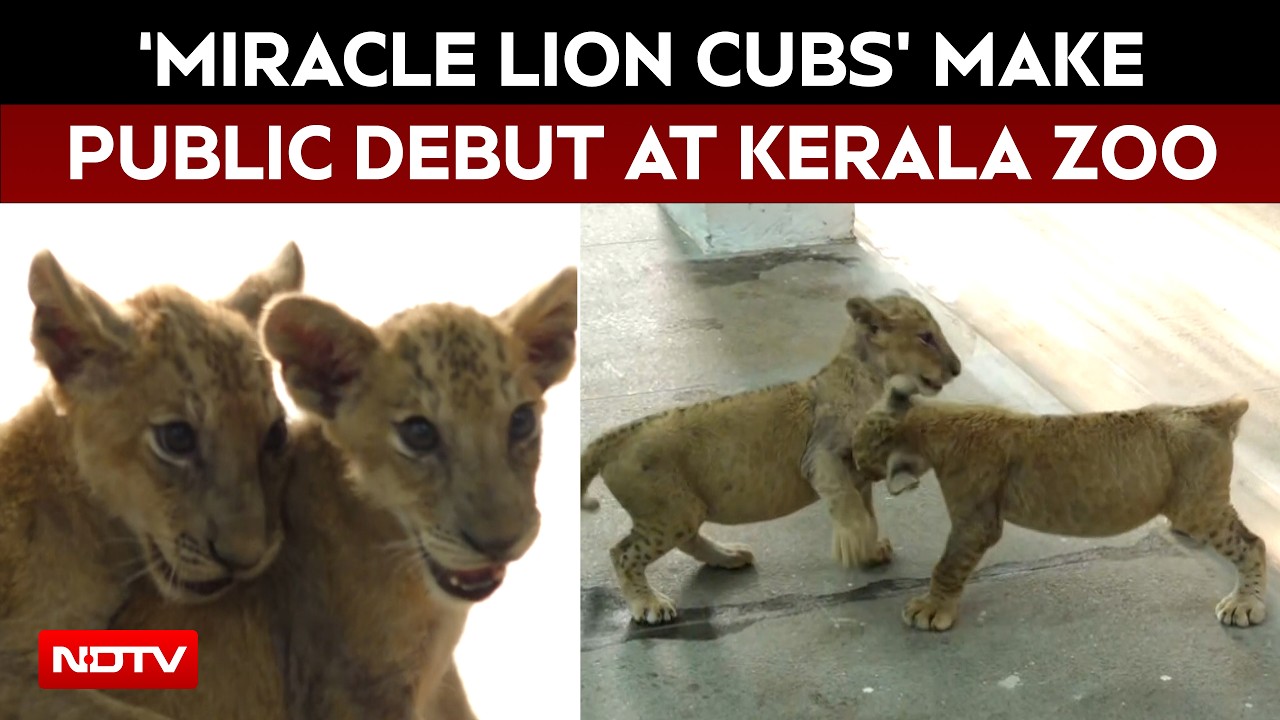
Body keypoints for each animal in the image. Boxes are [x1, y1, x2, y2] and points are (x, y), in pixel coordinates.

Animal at [580, 293, 963, 625]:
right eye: (926, 337)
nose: (958, 368)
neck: (874, 376)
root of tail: (616, 435)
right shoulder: (820, 455)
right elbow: (848, 504)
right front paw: (854, 543)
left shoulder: (858, 471)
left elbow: (865, 508)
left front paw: (869, 547)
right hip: (670, 510)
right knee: (622, 553)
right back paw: (649, 604)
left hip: (682, 509)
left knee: (686, 540)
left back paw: (729, 556)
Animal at [852, 374, 1267, 632]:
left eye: (860, 455)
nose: (850, 465)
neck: (939, 422)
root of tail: (1210, 410)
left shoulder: (976, 522)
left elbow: (949, 566)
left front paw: (931, 610)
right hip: (1197, 502)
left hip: (1199, 506)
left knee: (1252, 544)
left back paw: (1245, 605)